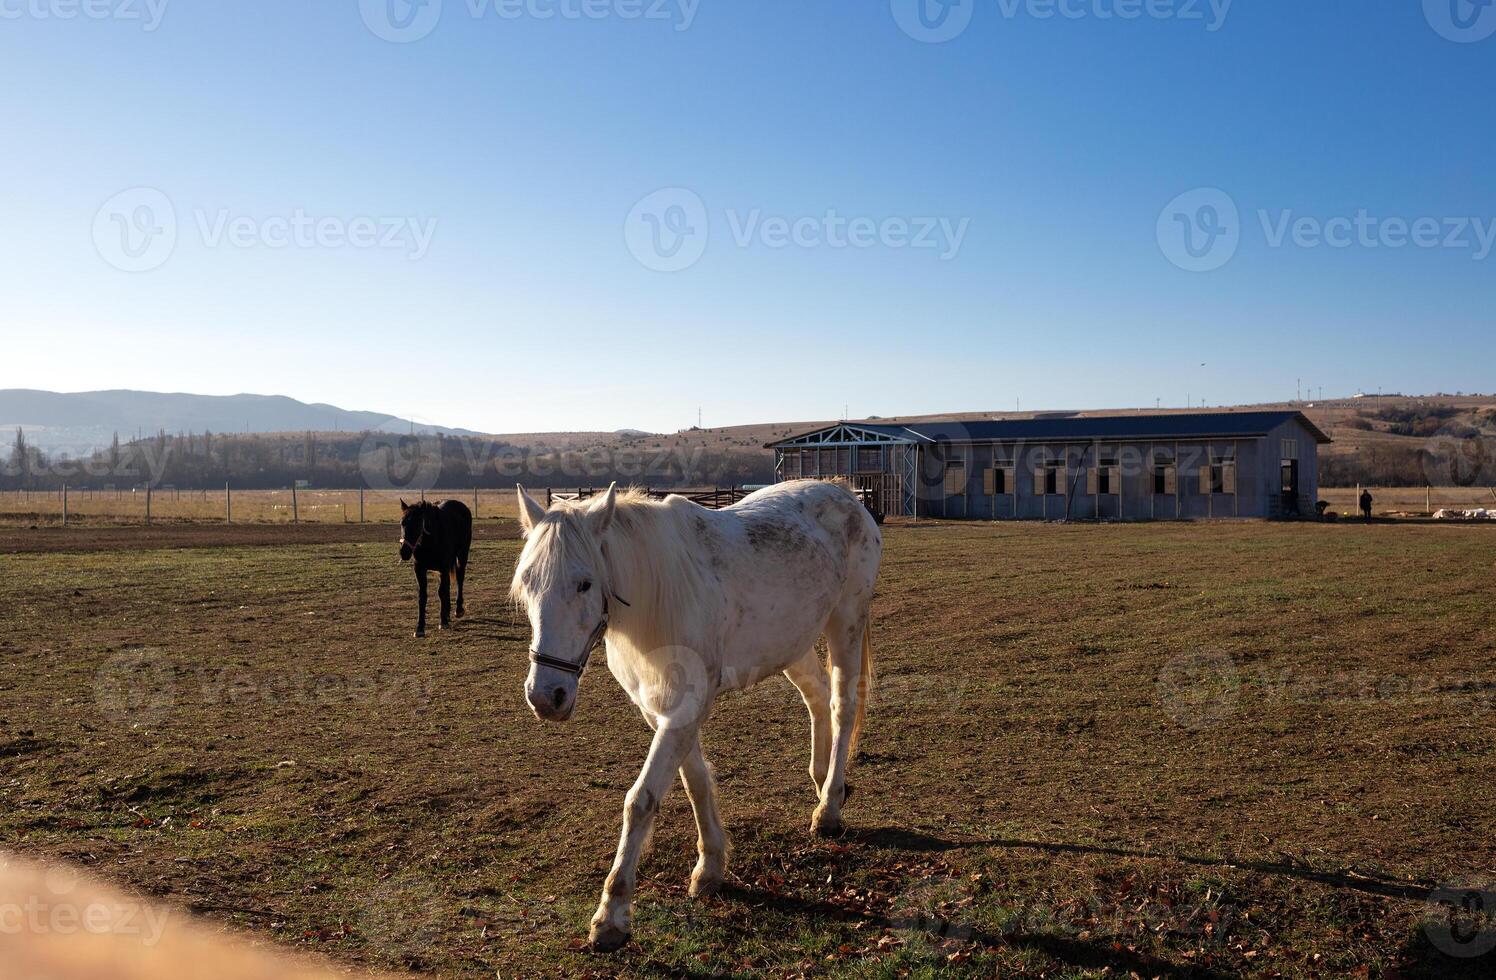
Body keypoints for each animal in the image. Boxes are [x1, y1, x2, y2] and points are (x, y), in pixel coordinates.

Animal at [400, 499, 469, 637]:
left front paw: (443, 622)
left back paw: (458, 609)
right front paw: (420, 628)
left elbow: (441, 592)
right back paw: (447, 614)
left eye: (417, 524)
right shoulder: (419, 569)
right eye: (402, 523)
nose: (404, 552)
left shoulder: (443, 567)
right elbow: (422, 596)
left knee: (460, 579)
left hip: (462, 555)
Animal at [511, 481, 873, 951]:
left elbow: (640, 800)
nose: (545, 696)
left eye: (585, 583)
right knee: (817, 696)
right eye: (527, 583)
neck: (658, 595)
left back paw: (829, 806)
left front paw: (612, 914)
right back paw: (823, 779)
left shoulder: (685, 707)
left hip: (846, 623)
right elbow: (695, 782)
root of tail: (845, 493)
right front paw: (711, 867)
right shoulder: (660, 709)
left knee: (842, 706)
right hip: (793, 644)